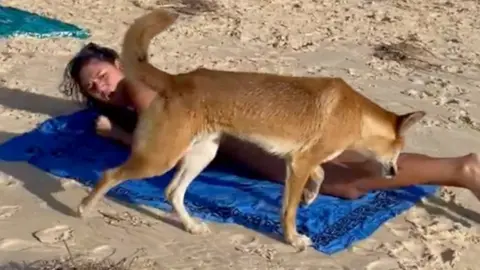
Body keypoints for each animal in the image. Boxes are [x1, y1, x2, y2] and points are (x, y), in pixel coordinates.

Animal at [77, 10, 426, 251]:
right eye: (400, 150)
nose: (395, 173)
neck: (357, 115)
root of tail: (177, 79)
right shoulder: (300, 163)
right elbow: (289, 210)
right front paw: (294, 238)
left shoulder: (299, 160)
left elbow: (320, 174)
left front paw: (311, 197)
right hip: (160, 158)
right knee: (110, 175)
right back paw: (84, 208)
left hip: (202, 154)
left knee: (172, 192)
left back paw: (192, 226)